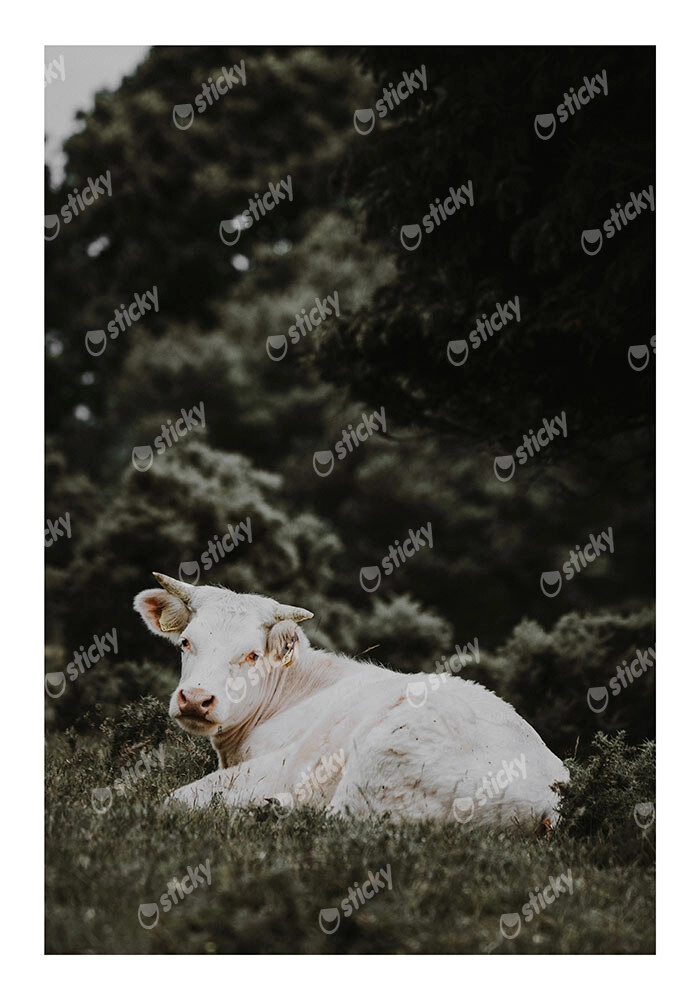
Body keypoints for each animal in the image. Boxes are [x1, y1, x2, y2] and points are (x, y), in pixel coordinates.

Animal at [134, 573, 568, 827]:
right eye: (186, 642)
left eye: (252, 655)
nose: (195, 699)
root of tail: (552, 799)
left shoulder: (283, 765)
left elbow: (177, 798)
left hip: (379, 766)